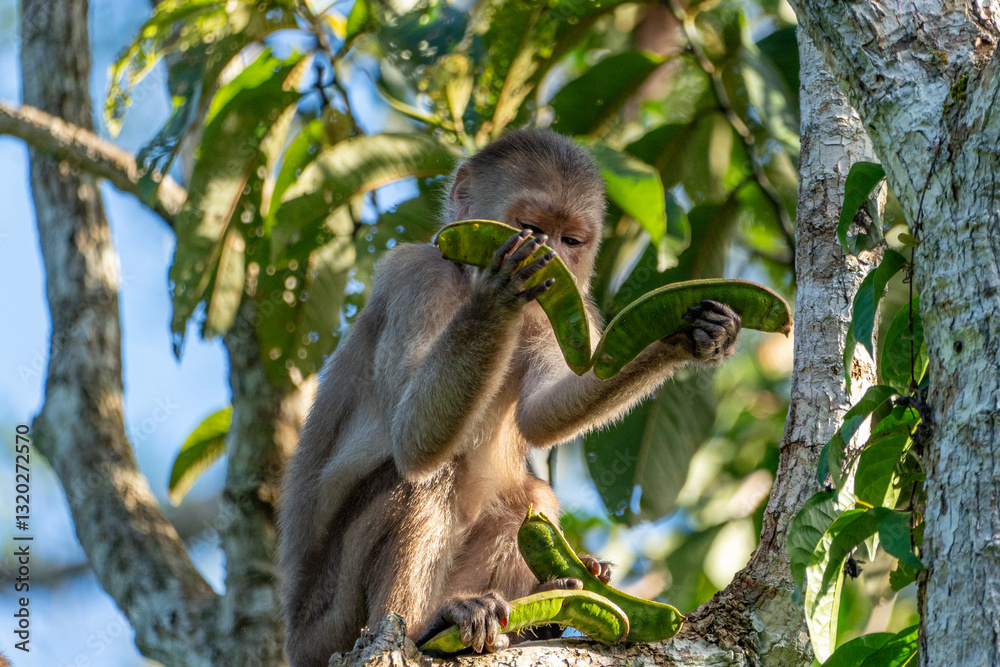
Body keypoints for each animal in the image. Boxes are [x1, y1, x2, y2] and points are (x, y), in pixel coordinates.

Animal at [277, 128, 742, 666]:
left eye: (571, 240)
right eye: (530, 227)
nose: (552, 255)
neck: (463, 278)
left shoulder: (566, 309)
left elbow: (547, 411)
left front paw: (688, 338)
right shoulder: (415, 275)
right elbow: (413, 440)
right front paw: (499, 292)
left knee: (528, 498)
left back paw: (552, 601)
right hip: (330, 622)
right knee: (424, 479)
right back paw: (424, 626)